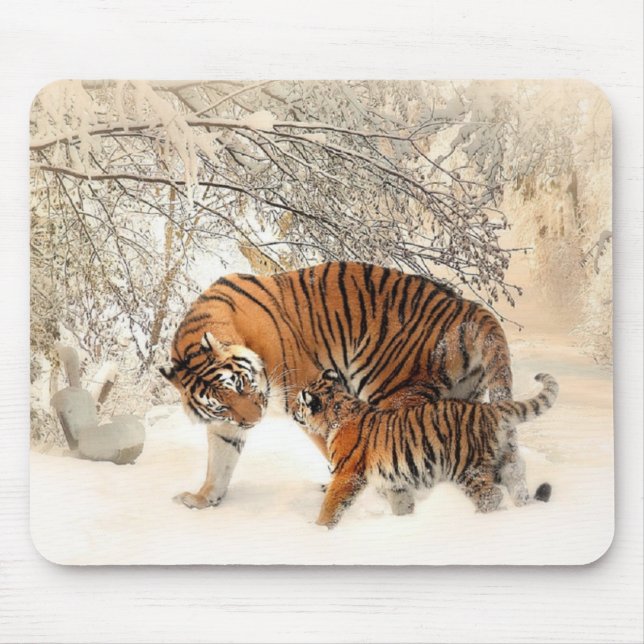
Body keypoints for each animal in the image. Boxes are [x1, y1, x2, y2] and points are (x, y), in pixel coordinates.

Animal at [160, 261, 516, 512]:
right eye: (221, 404)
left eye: (242, 384)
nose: (254, 421)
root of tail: (468, 308)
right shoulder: (226, 424)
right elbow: (219, 461)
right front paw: (203, 499)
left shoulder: (304, 392)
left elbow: (333, 446)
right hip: (461, 397)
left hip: (394, 390)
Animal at [294, 369, 557, 528]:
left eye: (299, 402)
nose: (294, 411)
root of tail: (490, 409)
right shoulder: (394, 481)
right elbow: (402, 504)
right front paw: (405, 522)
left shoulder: (347, 474)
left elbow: (331, 504)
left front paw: (319, 530)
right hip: (504, 461)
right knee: (517, 484)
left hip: (466, 468)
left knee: (491, 496)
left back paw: (477, 521)